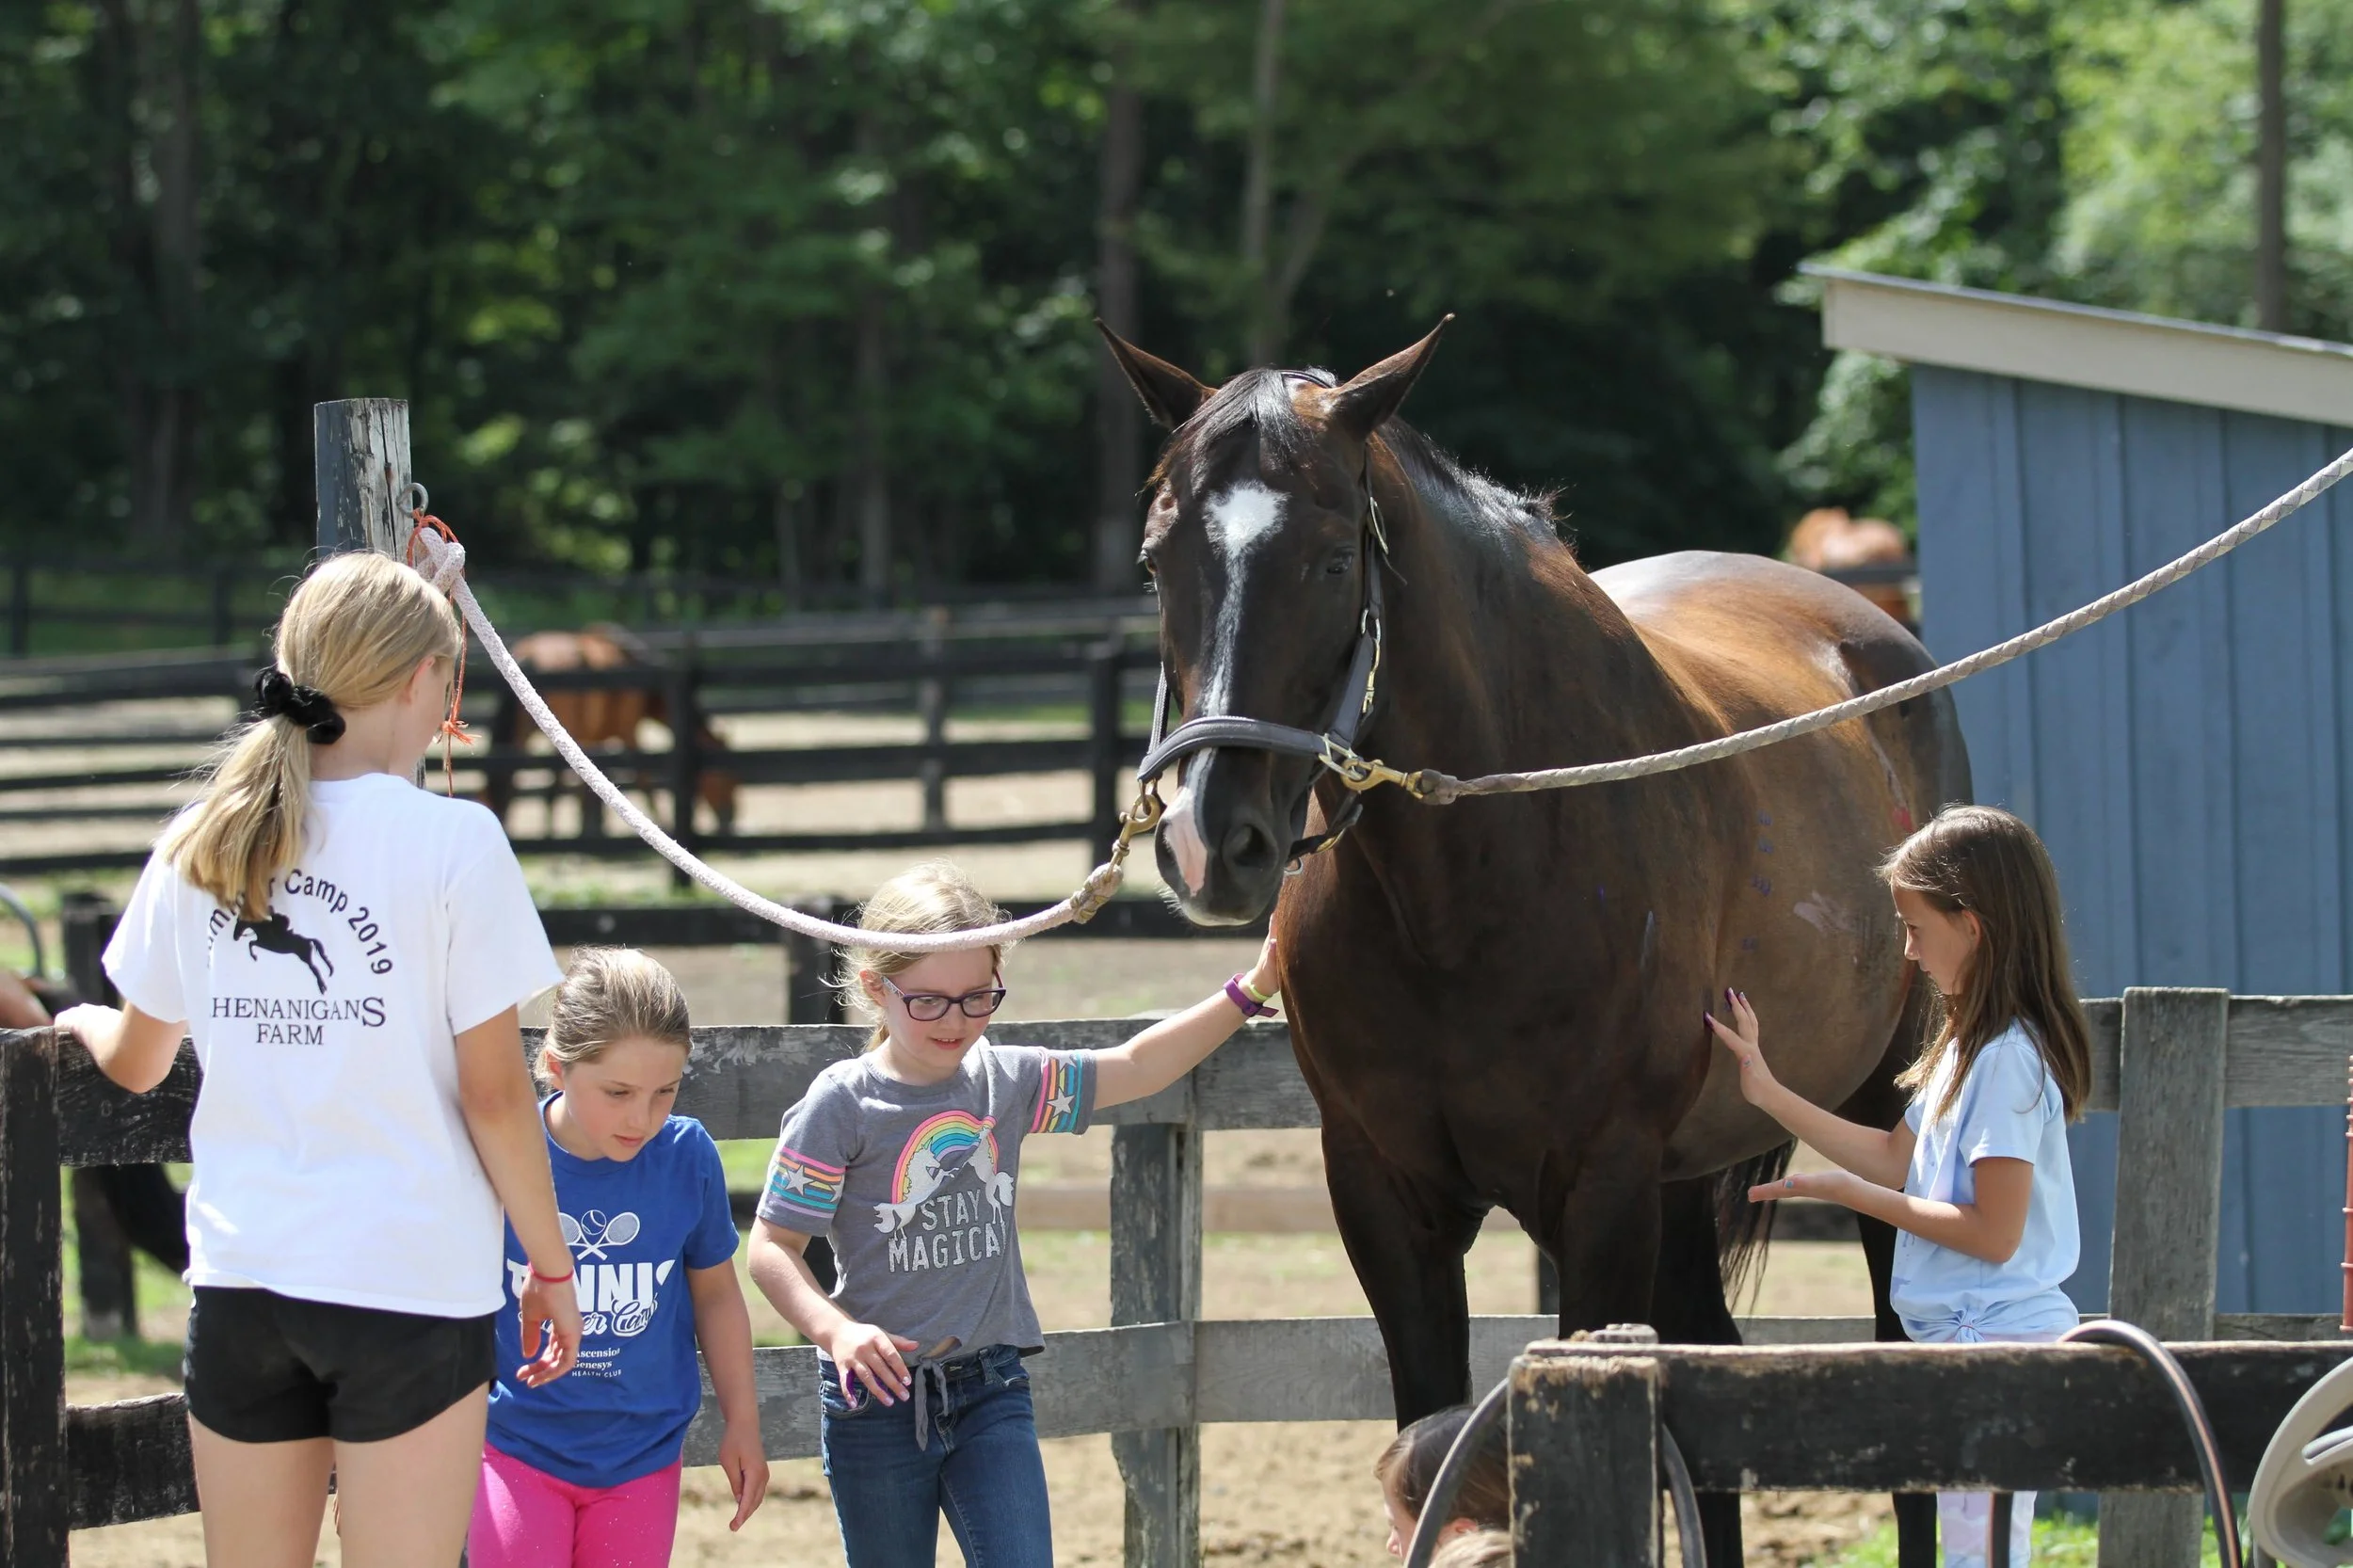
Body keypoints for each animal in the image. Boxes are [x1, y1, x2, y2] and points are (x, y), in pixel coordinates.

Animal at [483, 626, 739, 836]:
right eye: (725, 776)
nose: (730, 819)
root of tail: (529, 653)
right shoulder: (627, 733)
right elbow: (643, 779)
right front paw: (662, 824)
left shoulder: (591, 739)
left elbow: (587, 789)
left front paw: (590, 829)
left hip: (527, 731)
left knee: (514, 778)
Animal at [1100, 320, 1966, 1567]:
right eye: (1156, 559)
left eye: (1330, 559)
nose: (1213, 842)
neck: (1463, 892)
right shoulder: (1386, 1198)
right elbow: (1432, 1448)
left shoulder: (1599, 1192)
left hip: (1876, 1125)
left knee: (1908, 1393)